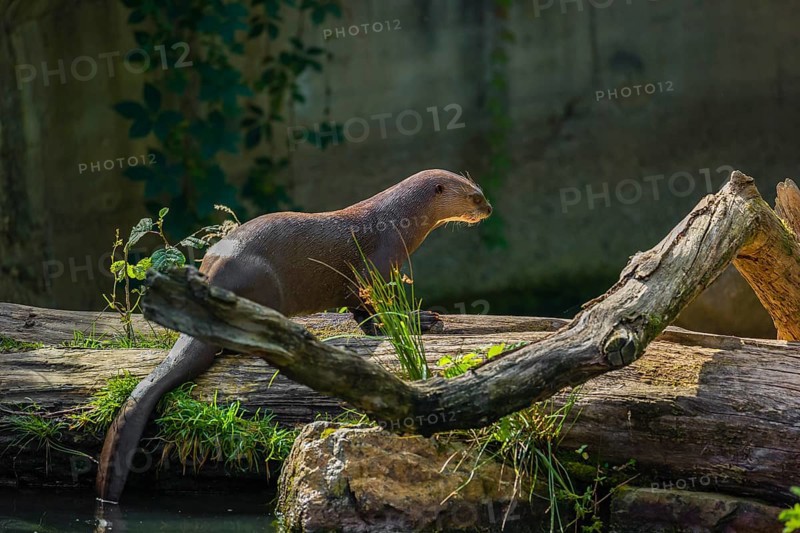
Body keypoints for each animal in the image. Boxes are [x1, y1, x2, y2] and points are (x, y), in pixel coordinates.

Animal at [96, 169, 492, 502]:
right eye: (474, 196)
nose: (488, 208)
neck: (397, 223)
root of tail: (211, 275)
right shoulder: (375, 267)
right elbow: (376, 314)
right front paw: (421, 319)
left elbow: (361, 314)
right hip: (262, 283)